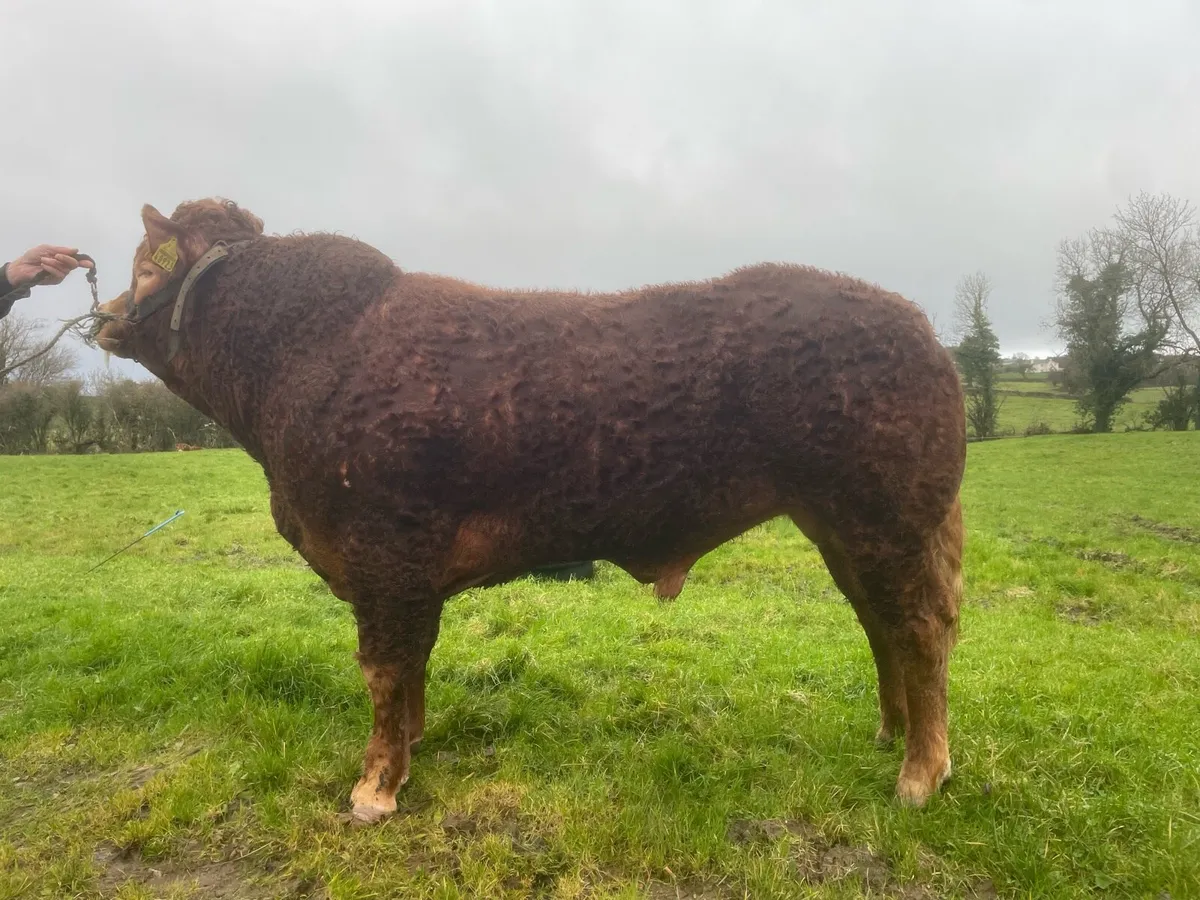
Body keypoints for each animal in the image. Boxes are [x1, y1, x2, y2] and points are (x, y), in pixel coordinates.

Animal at [93, 198, 966, 823]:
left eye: (143, 266)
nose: (100, 318)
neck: (308, 355)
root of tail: (918, 324)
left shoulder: (384, 553)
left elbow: (382, 668)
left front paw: (374, 790)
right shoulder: (405, 573)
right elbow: (411, 666)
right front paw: (412, 745)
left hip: (884, 521)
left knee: (921, 631)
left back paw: (920, 776)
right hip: (846, 529)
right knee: (881, 626)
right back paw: (890, 735)